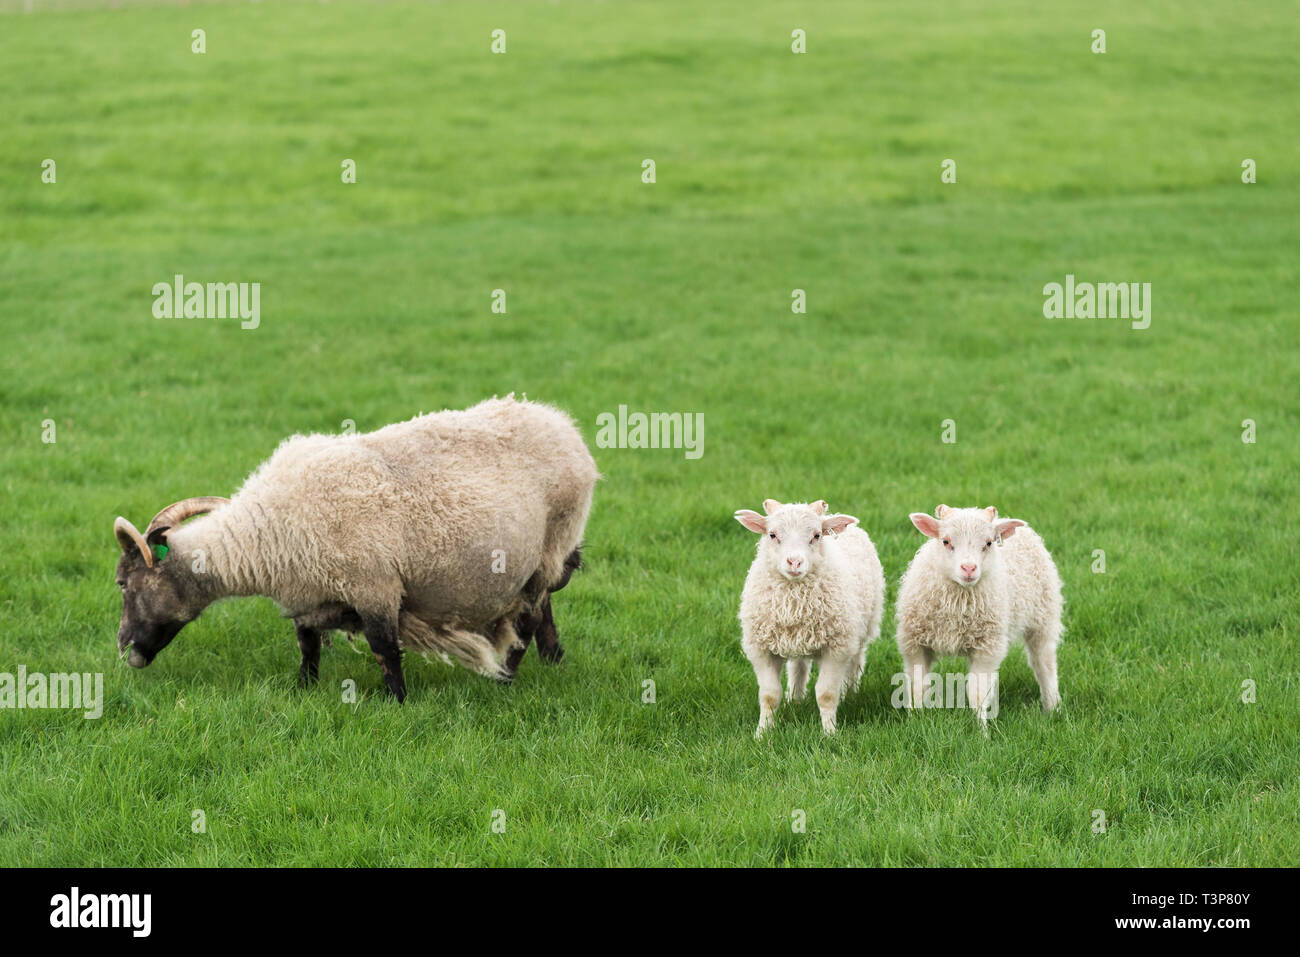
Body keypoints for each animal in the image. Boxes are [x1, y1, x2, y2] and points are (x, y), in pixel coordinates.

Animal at [111, 392, 598, 696]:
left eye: (122, 583)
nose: (122, 648)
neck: (267, 532)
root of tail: (563, 426)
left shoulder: (374, 586)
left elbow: (385, 649)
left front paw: (396, 702)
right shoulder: (307, 595)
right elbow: (307, 645)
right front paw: (304, 689)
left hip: (550, 547)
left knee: (528, 619)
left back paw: (505, 680)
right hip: (538, 562)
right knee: (541, 611)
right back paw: (553, 660)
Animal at [733, 496, 883, 738]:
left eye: (816, 535)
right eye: (772, 535)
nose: (794, 562)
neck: (794, 602)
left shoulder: (836, 647)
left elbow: (826, 694)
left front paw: (829, 733)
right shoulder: (761, 648)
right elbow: (769, 695)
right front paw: (762, 734)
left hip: (863, 626)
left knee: (856, 661)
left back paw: (849, 693)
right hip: (798, 638)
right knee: (799, 665)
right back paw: (795, 698)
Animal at [894, 504, 1066, 722]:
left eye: (989, 543)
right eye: (946, 541)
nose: (969, 568)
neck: (957, 603)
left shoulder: (987, 648)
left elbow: (976, 692)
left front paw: (980, 727)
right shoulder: (915, 644)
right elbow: (917, 687)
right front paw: (915, 719)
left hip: (1043, 619)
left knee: (1044, 665)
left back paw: (1052, 708)